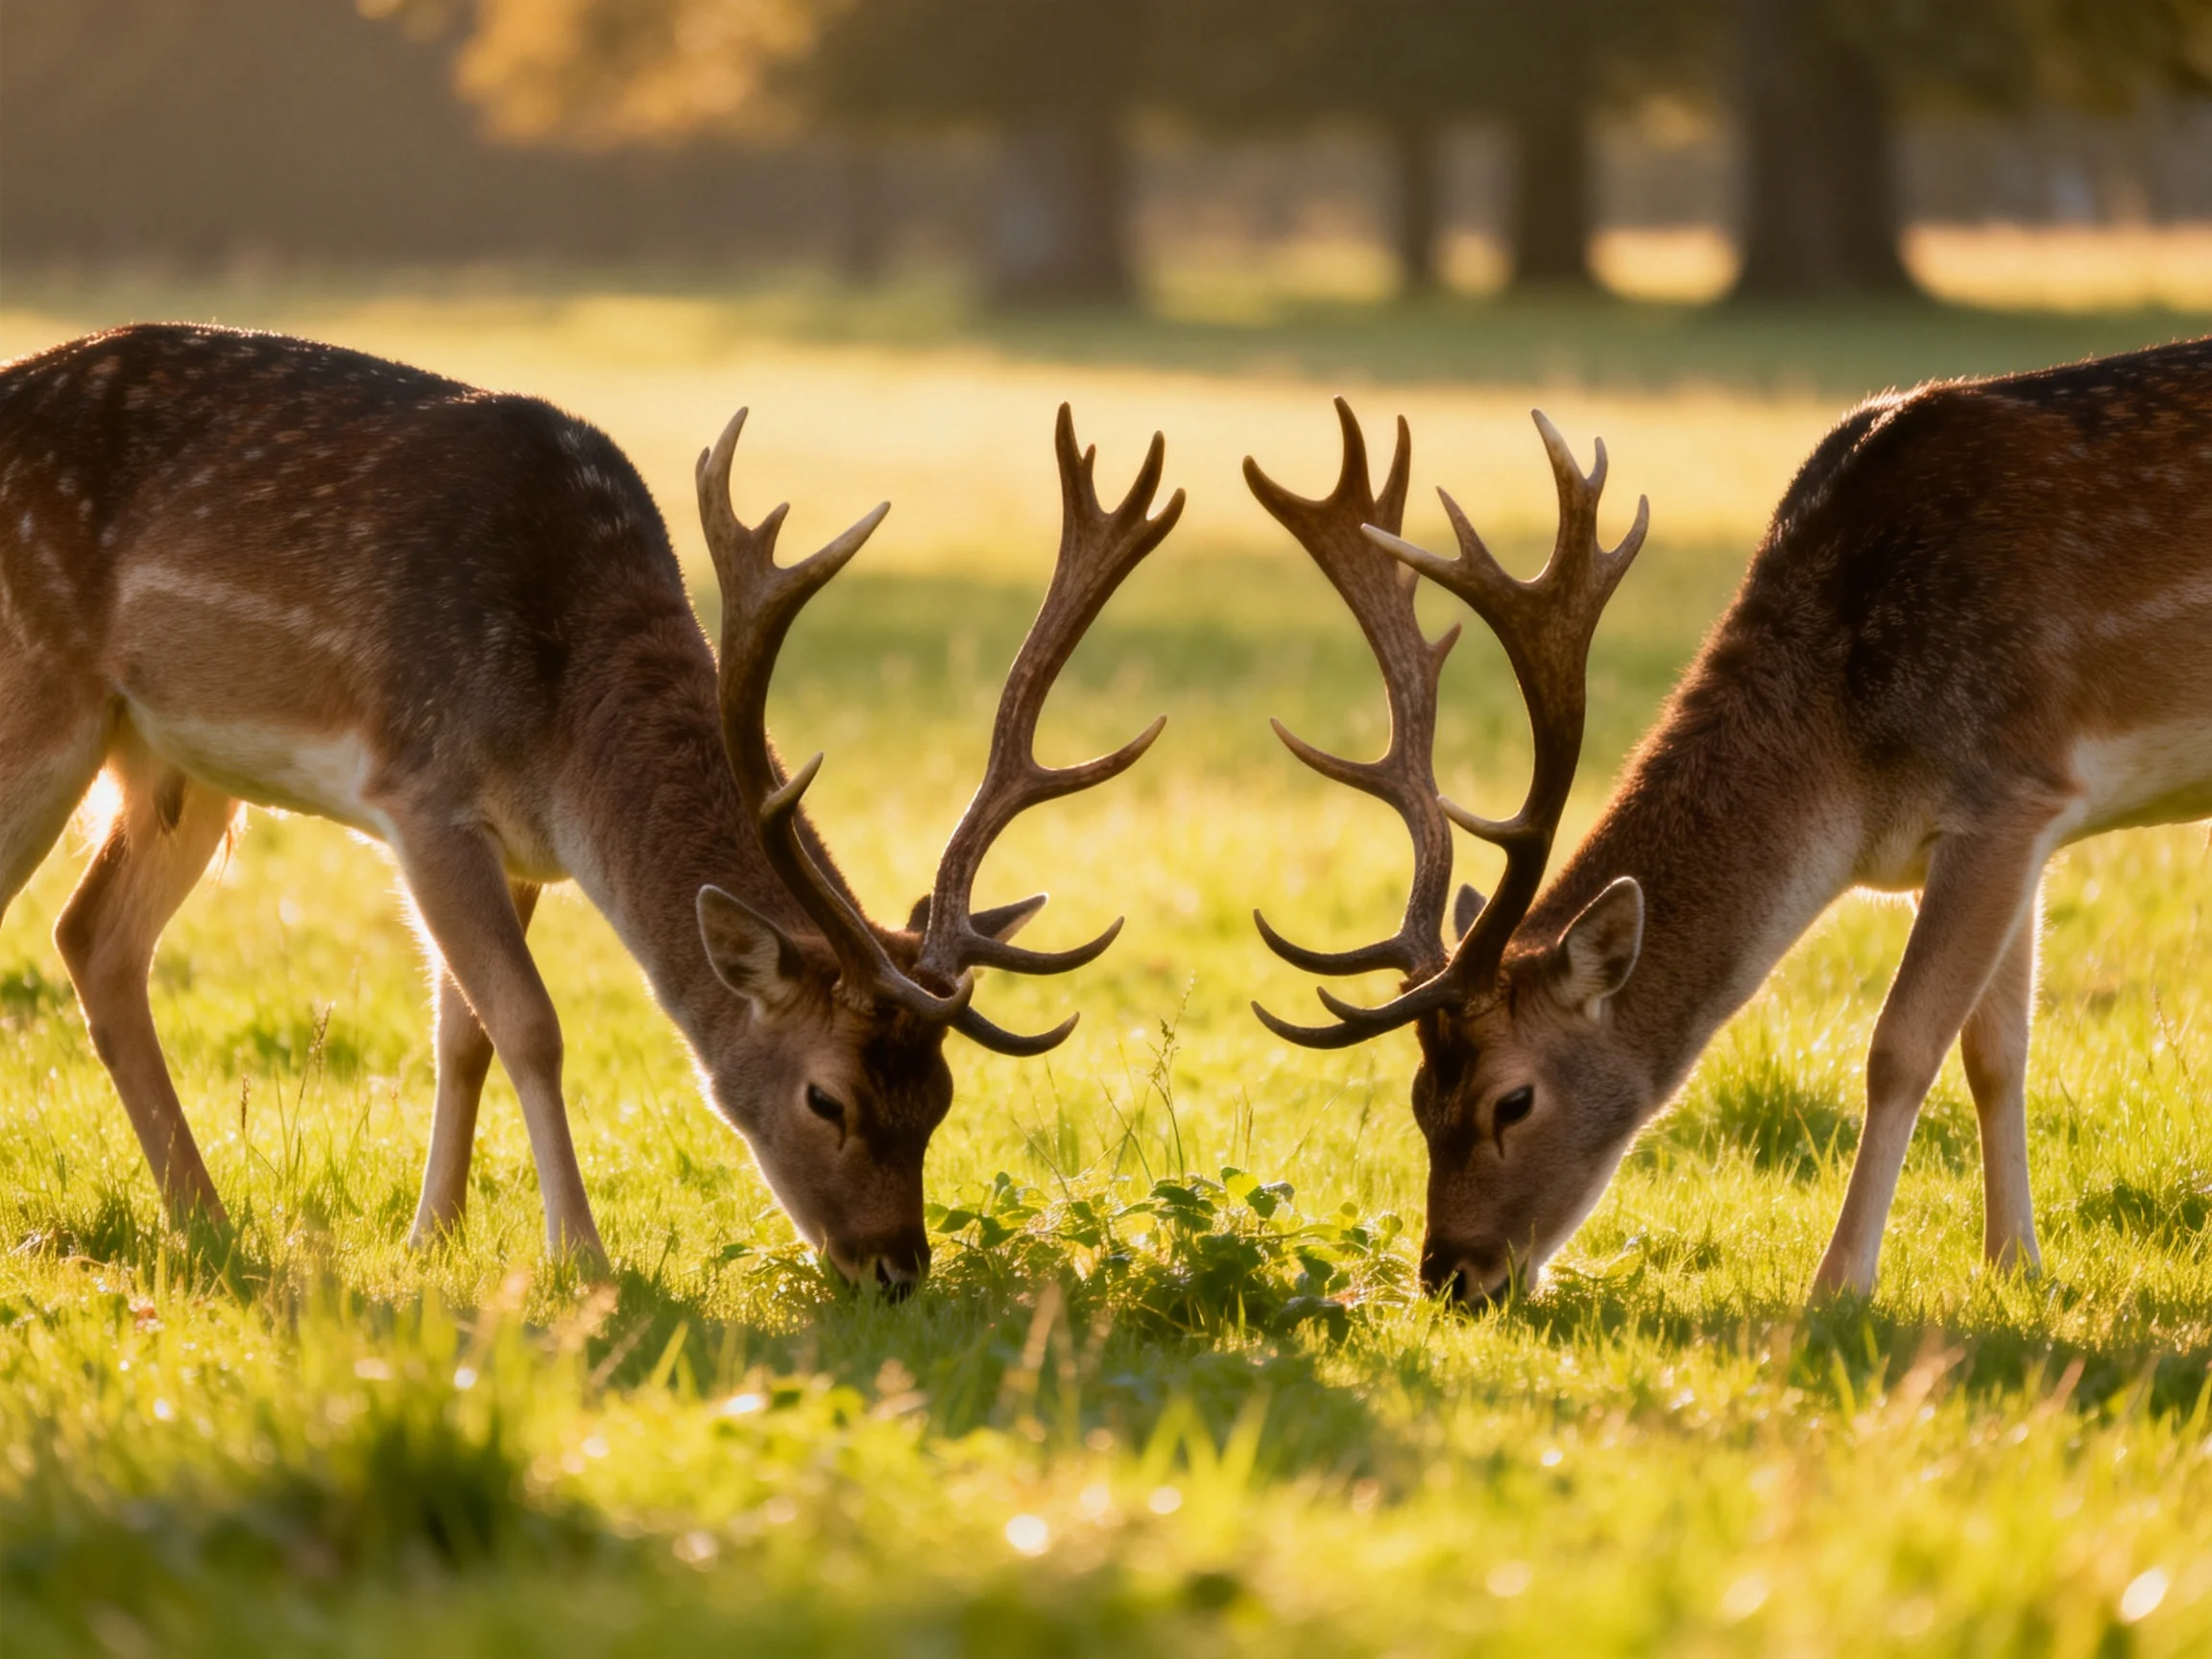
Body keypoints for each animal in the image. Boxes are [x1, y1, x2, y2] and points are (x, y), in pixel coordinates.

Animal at [0, 322, 1182, 1289]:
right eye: (827, 1099)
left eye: (938, 1101)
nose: (894, 1269)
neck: (560, 738)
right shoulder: (421, 790)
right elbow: (530, 1024)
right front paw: (582, 1255)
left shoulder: (516, 847)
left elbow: (464, 1035)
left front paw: (433, 1236)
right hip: (42, 696)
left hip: (174, 763)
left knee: (92, 936)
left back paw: (205, 1218)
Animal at [1248, 350, 2212, 1307]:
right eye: (1417, 1099)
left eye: (1511, 1101)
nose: (1451, 1275)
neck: (1852, 780)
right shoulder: (1994, 837)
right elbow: (1996, 1052)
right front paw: (2016, 1266)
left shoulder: (2009, 788)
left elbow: (1901, 1047)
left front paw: (1838, 1287)